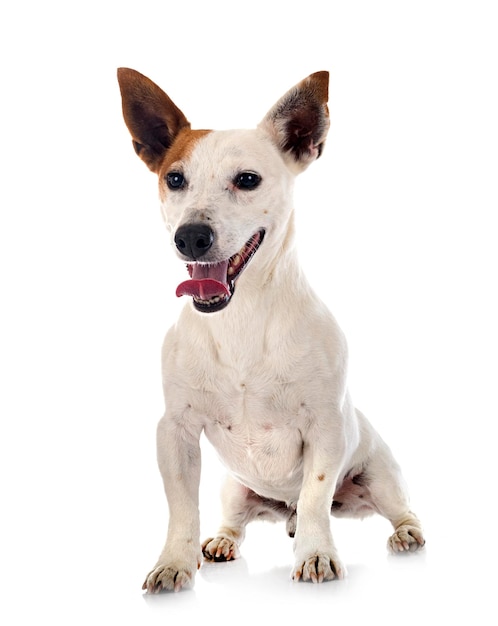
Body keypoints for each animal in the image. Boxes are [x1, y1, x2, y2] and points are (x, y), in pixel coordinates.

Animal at [116, 68, 424, 588]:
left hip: (380, 475)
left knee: (394, 508)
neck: (239, 318)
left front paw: (316, 553)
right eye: (174, 179)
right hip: (235, 488)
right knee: (235, 520)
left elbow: (317, 496)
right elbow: (182, 508)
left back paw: (402, 533)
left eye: (247, 180)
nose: (190, 237)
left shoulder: (326, 427)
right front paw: (174, 562)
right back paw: (223, 541)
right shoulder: (175, 431)